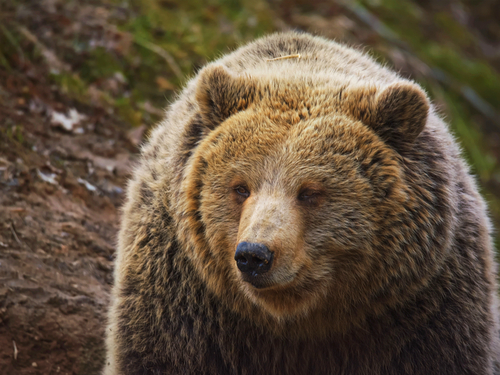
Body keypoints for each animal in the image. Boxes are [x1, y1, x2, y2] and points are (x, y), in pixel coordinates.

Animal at [104, 33, 500, 375]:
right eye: (240, 187)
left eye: (310, 192)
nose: (254, 255)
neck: (298, 319)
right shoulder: (184, 300)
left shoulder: (425, 313)